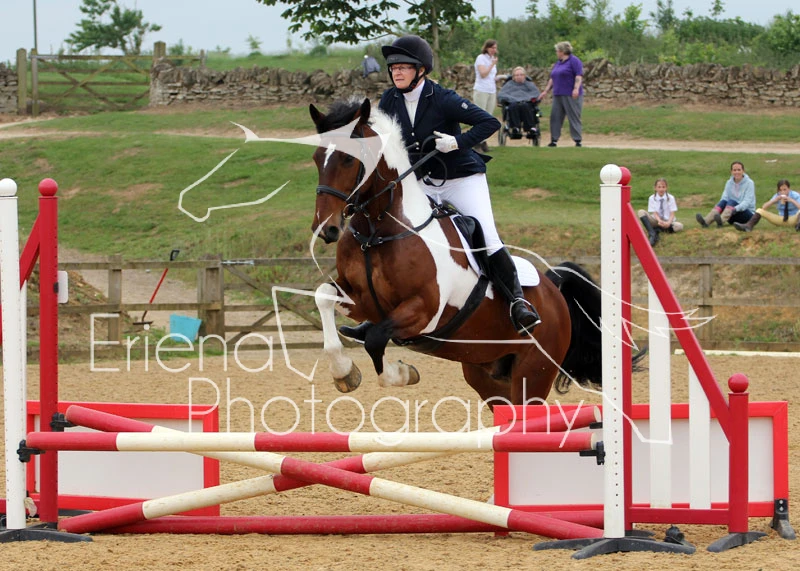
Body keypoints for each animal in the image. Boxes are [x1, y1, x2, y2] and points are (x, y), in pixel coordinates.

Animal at [308, 97, 604, 405]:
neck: (376, 233)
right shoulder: (362, 300)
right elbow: (324, 296)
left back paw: (524, 313)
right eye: (317, 157)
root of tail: (553, 289)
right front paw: (344, 372)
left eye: (349, 159)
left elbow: (376, 339)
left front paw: (401, 373)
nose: (325, 228)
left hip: (533, 373)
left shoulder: (424, 310)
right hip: (486, 374)